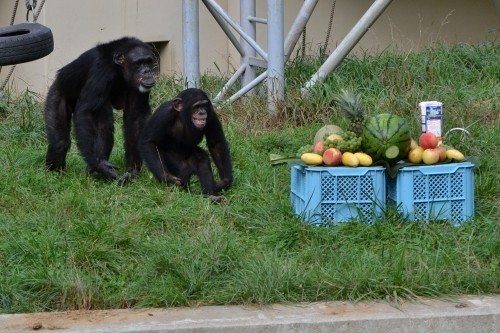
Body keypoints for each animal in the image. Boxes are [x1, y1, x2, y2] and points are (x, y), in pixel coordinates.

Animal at [44, 36, 155, 184]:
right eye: (139, 63)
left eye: (148, 62)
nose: (147, 71)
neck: (118, 69)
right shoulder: (101, 70)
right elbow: (87, 112)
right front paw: (101, 165)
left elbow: (135, 117)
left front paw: (133, 170)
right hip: (56, 94)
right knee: (60, 142)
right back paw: (55, 174)